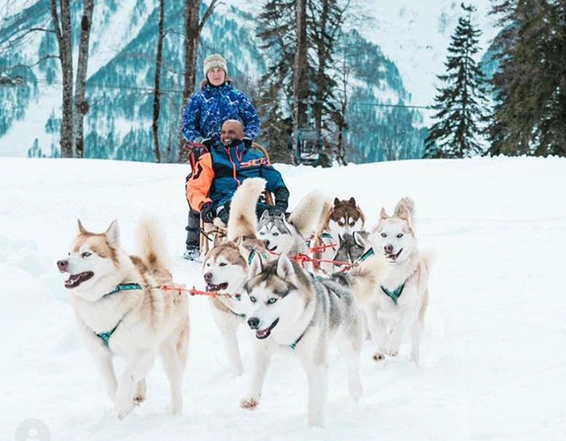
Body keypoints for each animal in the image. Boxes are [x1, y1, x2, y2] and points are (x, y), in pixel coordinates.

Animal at [57, 218, 191, 418]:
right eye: (69, 252)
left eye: (86, 254)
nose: (61, 262)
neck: (102, 298)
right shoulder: (100, 355)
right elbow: (112, 385)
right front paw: (125, 405)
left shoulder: (145, 353)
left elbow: (125, 377)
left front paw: (122, 405)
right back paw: (138, 394)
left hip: (171, 354)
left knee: (175, 385)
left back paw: (175, 412)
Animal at [202, 177, 270, 372]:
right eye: (208, 264)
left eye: (223, 264)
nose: (207, 276)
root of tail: (245, 236)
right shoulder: (226, 330)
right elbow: (235, 359)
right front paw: (239, 376)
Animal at [240, 254, 372, 426]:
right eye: (253, 298)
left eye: (272, 300)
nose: (252, 322)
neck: (285, 331)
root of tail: (338, 280)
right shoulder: (262, 349)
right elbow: (256, 374)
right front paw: (251, 397)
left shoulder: (316, 364)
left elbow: (315, 401)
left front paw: (315, 427)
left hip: (347, 342)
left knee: (352, 366)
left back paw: (356, 390)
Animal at [366, 198, 432, 362]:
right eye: (383, 234)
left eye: (400, 235)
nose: (388, 247)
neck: (392, 274)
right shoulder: (371, 306)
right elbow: (375, 328)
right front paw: (383, 344)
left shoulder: (409, 309)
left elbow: (400, 328)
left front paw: (391, 347)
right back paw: (379, 352)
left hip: (417, 321)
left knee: (413, 345)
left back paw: (413, 362)